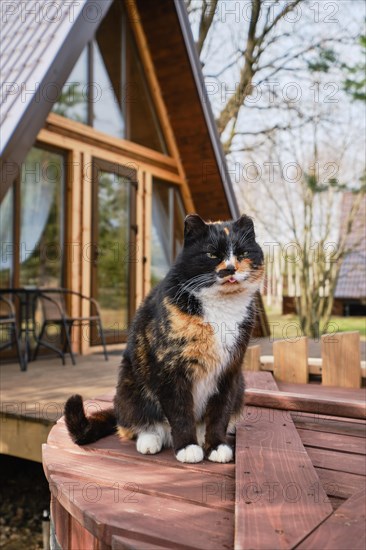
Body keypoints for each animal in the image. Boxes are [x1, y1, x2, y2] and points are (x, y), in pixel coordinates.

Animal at [63, 213, 264, 464]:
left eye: (243, 253)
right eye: (211, 254)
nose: (230, 268)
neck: (221, 308)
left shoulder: (230, 370)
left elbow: (220, 412)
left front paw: (216, 446)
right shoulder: (170, 367)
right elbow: (179, 412)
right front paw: (187, 447)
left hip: (240, 386)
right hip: (129, 385)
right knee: (135, 424)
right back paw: (150, 441)